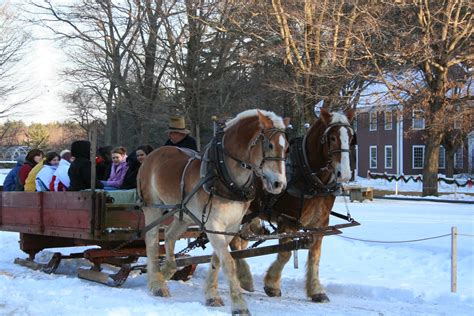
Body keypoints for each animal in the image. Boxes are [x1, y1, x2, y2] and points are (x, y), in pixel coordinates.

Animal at [137, 110, 288, 314]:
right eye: (270, 145)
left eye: (287, 147)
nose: (279, 184)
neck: (225, 175)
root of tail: (151, 156)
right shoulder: (212, 224)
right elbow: (229, 262)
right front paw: (239, 305)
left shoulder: (230, 226)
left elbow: (218, 259)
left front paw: (211, 295)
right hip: (152, 207)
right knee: (152, 242)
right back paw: (157, 284)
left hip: (182, 213)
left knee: (169, 236)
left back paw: (168, 269)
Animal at [230, 109, 356, 304]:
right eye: (333, 137)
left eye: (350, 137)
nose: (345, 173)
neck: (308, 176)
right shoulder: (287, 220)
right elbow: (285, 254)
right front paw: (272, 285)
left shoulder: (321, 223)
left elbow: (315, 255)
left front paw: (316, 290)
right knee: (234, 242)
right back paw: (244, 279)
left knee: (240, 242)